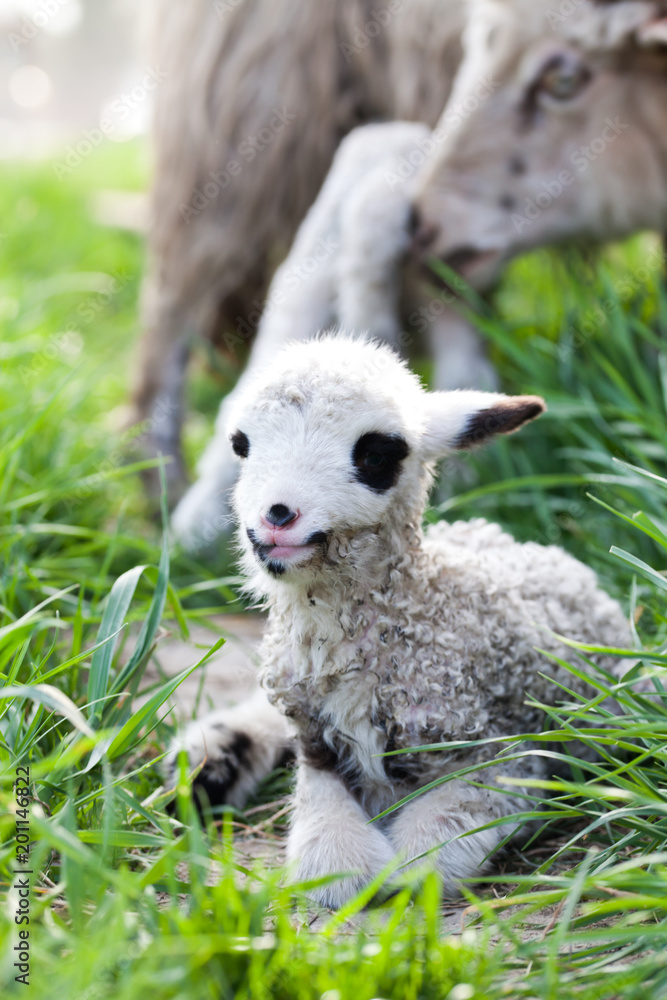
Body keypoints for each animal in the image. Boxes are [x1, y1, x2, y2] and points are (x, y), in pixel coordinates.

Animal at [168, 333, 632, 907]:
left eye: (375, 453)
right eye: (241, 444)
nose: (276, 517)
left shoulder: (499, 754)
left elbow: (432, 847)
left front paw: (400, 880)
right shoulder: (316, 744)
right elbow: (327, 845)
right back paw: (204, 765)